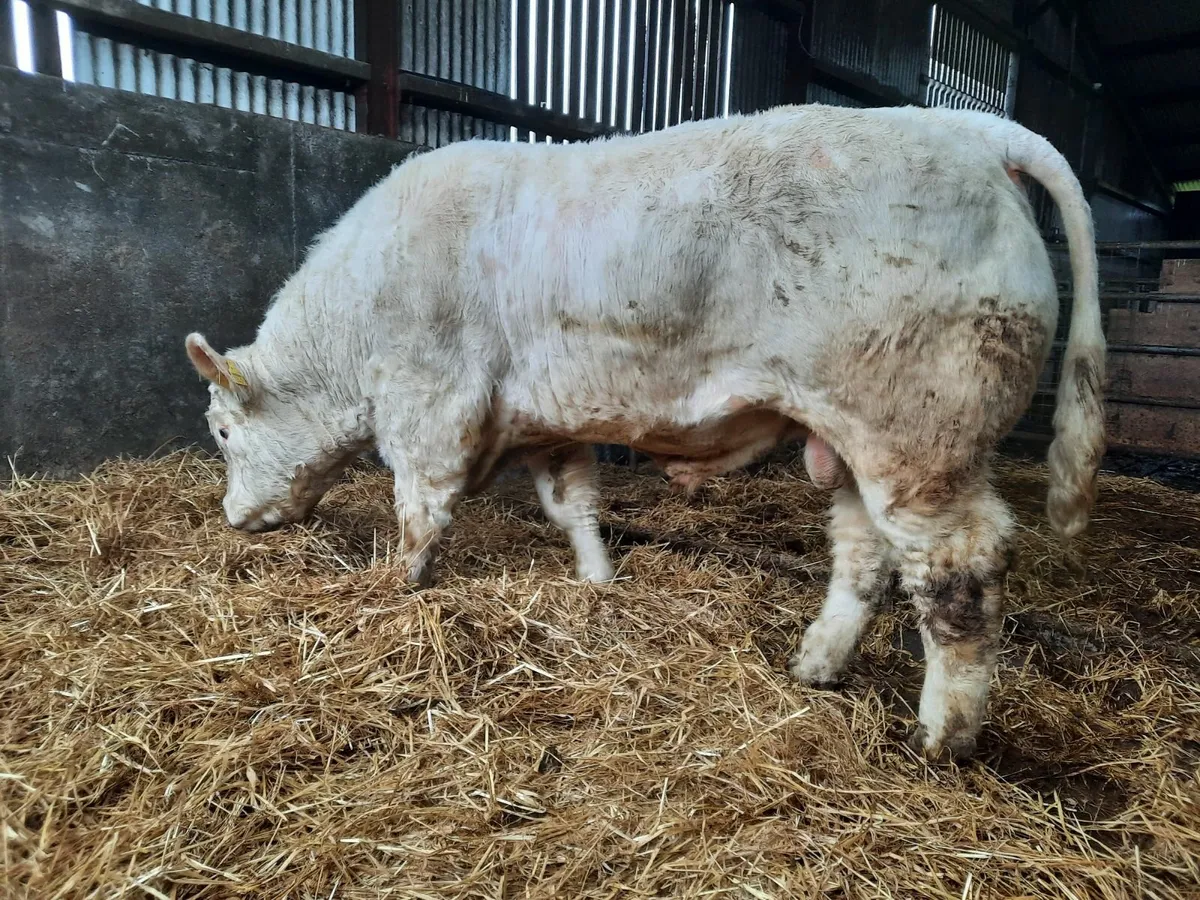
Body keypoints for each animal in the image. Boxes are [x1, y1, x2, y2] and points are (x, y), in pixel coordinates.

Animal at [184, 104, 1104, 760]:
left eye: (222, 432)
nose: (232, 519)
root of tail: (968, 128)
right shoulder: (548, 423)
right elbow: (573, 504)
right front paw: (598, 581)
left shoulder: (427, 401)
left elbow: (422, 505)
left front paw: (400, 586)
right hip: (846, 438)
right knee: (864, 552)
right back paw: (815, 666)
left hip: (919, 431)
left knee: (959, 568)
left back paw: (943, 737)